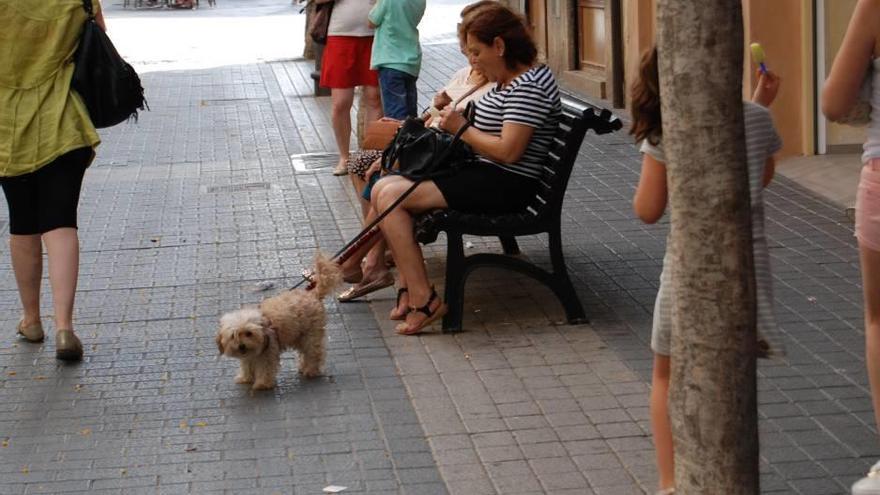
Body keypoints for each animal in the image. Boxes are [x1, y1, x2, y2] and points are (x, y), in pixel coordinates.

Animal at [218, 256, 342, 392]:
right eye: (233, 336)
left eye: (248, 333)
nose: (241, 346)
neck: (263, 328)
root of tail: (312, 295)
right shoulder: (250, 356)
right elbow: (247, 366)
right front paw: (246, 378)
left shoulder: (267, 353)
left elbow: (265, 369)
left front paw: (263, 383)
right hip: (299, 336)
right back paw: (303, 367)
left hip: (310, 337)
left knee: (314, 353)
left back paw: (311, 370)